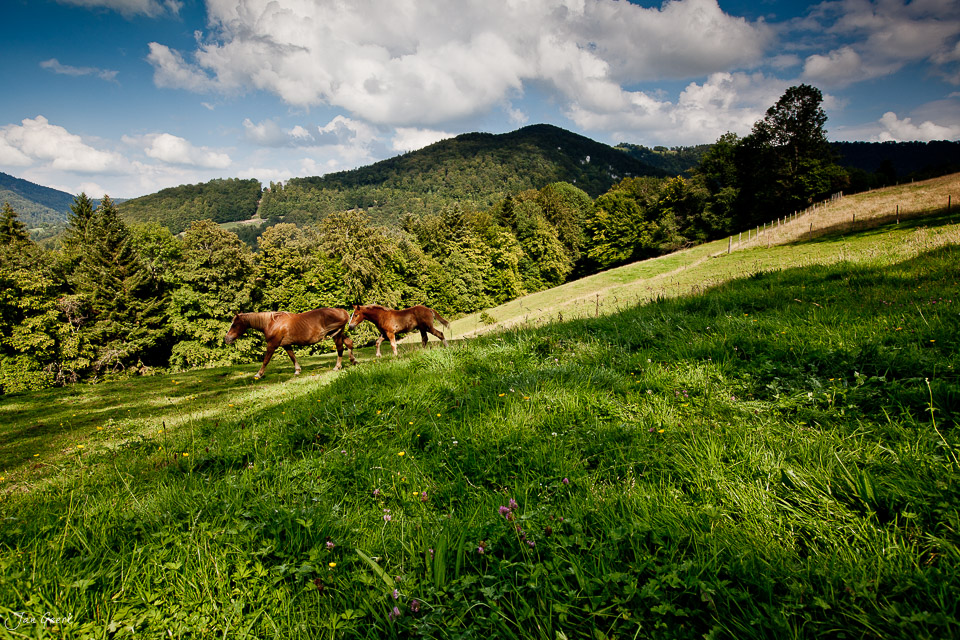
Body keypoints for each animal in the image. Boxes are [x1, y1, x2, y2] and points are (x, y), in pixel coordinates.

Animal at [223, 307, 357, 379]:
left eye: (234, 324)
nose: (227, 339)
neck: (272, 323)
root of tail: (341, 311)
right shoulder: (286, 345)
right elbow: (292, 357)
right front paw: (297, 370)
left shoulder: (272, 345)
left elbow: (266, 360)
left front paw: (258, 374)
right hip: (339, 333)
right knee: (349, 343)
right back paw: (353, 360)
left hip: (336, 334)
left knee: (340, 349)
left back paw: (337, 366)